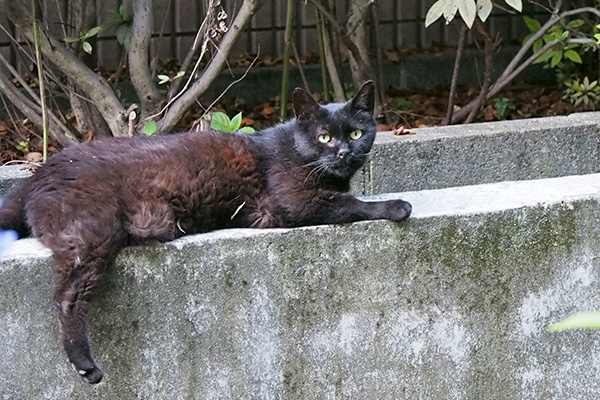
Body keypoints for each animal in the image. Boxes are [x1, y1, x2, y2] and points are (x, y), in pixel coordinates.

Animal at [0, 79, 412, 382]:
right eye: (324, 137)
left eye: (356, 134)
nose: (344, 153)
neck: (295, 150)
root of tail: (38, 174)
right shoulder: (294, 202)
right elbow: (352, 204)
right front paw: (396, 206)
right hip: (93, 230)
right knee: (67, 297)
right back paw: (85, 364)